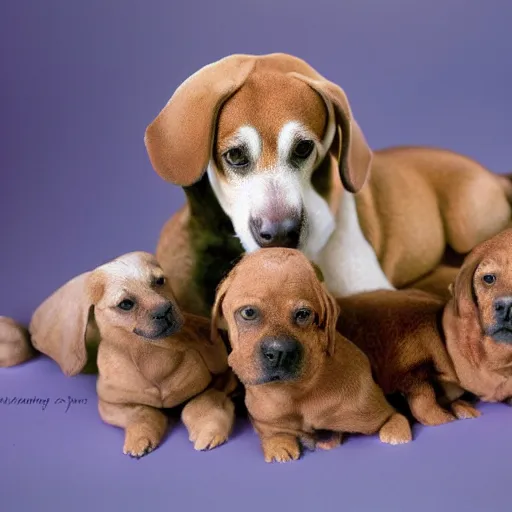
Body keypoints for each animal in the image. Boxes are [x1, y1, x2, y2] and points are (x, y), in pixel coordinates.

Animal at [26, 252, 236, 456]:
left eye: (159, 281)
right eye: (125, 304)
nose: (165, 310)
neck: (152, 357)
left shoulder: (221, 379)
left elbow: (199, 403)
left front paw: (209, 429)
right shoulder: (109, 404)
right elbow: (142, 413)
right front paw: (139, 438)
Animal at [212, 248, 412, 464]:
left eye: (303, 314)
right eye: (248, 312)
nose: (280, 352)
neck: (298, 393)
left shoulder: (375, 412)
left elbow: (395, 417)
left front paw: (396, 431)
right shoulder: (265, 419)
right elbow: (274, 432)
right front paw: (279, 444)